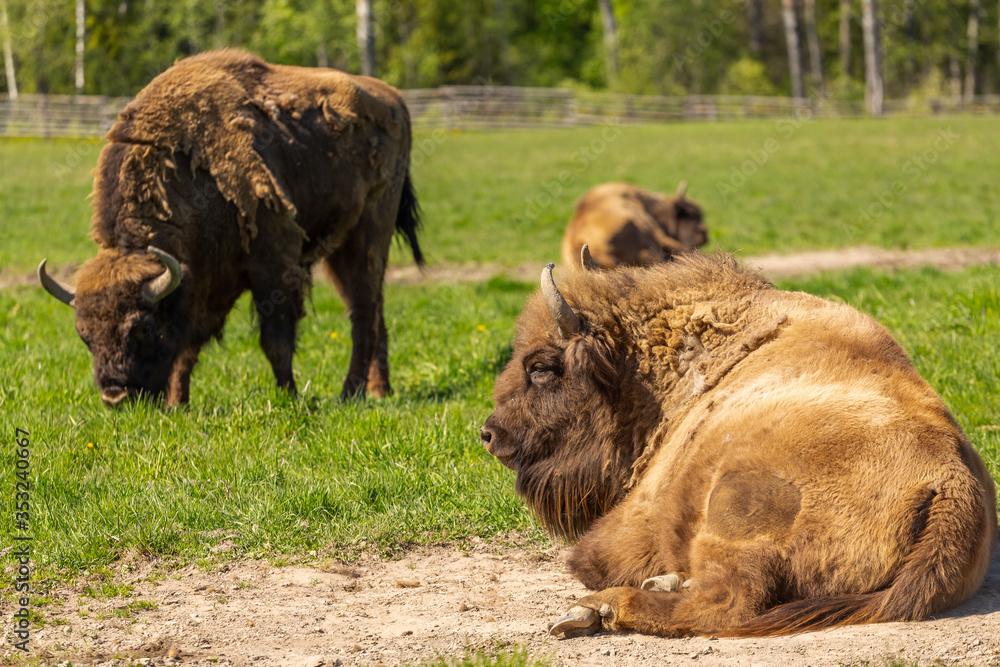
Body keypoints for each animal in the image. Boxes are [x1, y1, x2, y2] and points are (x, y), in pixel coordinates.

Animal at [39, 49, 422, 407]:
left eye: (143, 327)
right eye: (84, 335)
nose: (115, 396)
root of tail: (394, 100)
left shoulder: (272, 265)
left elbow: (275, 341)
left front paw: (289, 397)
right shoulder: (206, 281)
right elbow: (188, 347)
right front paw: (177, 404)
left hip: (369, 235)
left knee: (363, 312)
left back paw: (350, 393)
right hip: (340, 247)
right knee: (374, 309)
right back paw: (380, 390)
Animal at [481, 249, 997, 637]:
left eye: (541, 367)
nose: (489, 433)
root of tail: (953, 486)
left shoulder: (636, 521)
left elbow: (588, 558)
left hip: (736, 502)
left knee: (725, 604)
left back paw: (597, 609)